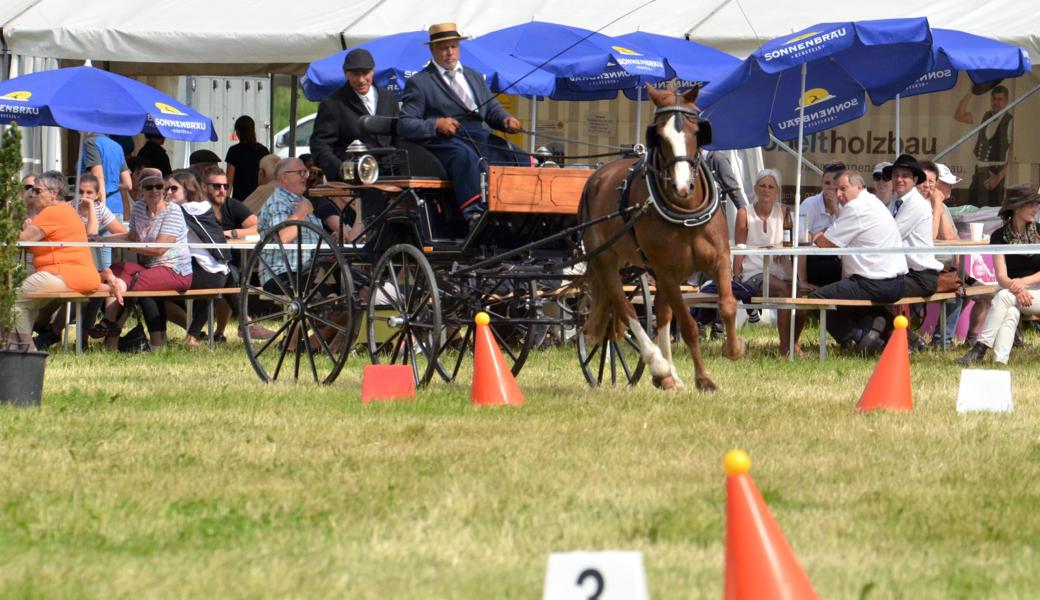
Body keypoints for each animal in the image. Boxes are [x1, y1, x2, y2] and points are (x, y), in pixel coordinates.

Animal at [578, 83, 740, 393]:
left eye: (696, 131)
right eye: (659, 136)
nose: (681, 186)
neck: (686, 213)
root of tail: (596, 176)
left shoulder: (719, 259)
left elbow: (727, 305)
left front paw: (734, 350)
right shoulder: (666, 271)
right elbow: (688, 326)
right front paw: (704, 379)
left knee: (661, 314)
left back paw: (669, 376)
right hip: (606, 261)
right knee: (625, 307)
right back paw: (660, 367)